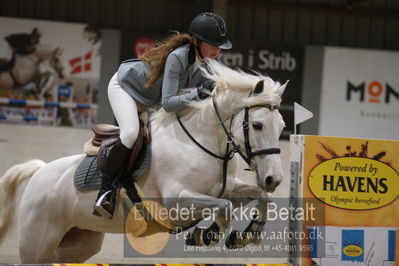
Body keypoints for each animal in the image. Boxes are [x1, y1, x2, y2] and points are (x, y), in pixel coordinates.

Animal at [0, 59, 288, 262]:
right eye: (258, 125)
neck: (204, 141)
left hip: (80, 241)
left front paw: (246, 234)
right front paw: (207, 235)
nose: (273, 179)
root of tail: (39, 172)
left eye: (283, 126)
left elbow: (258, 197)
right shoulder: (175, 203)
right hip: (37, 242)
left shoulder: (226, 188)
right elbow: (225, 207)